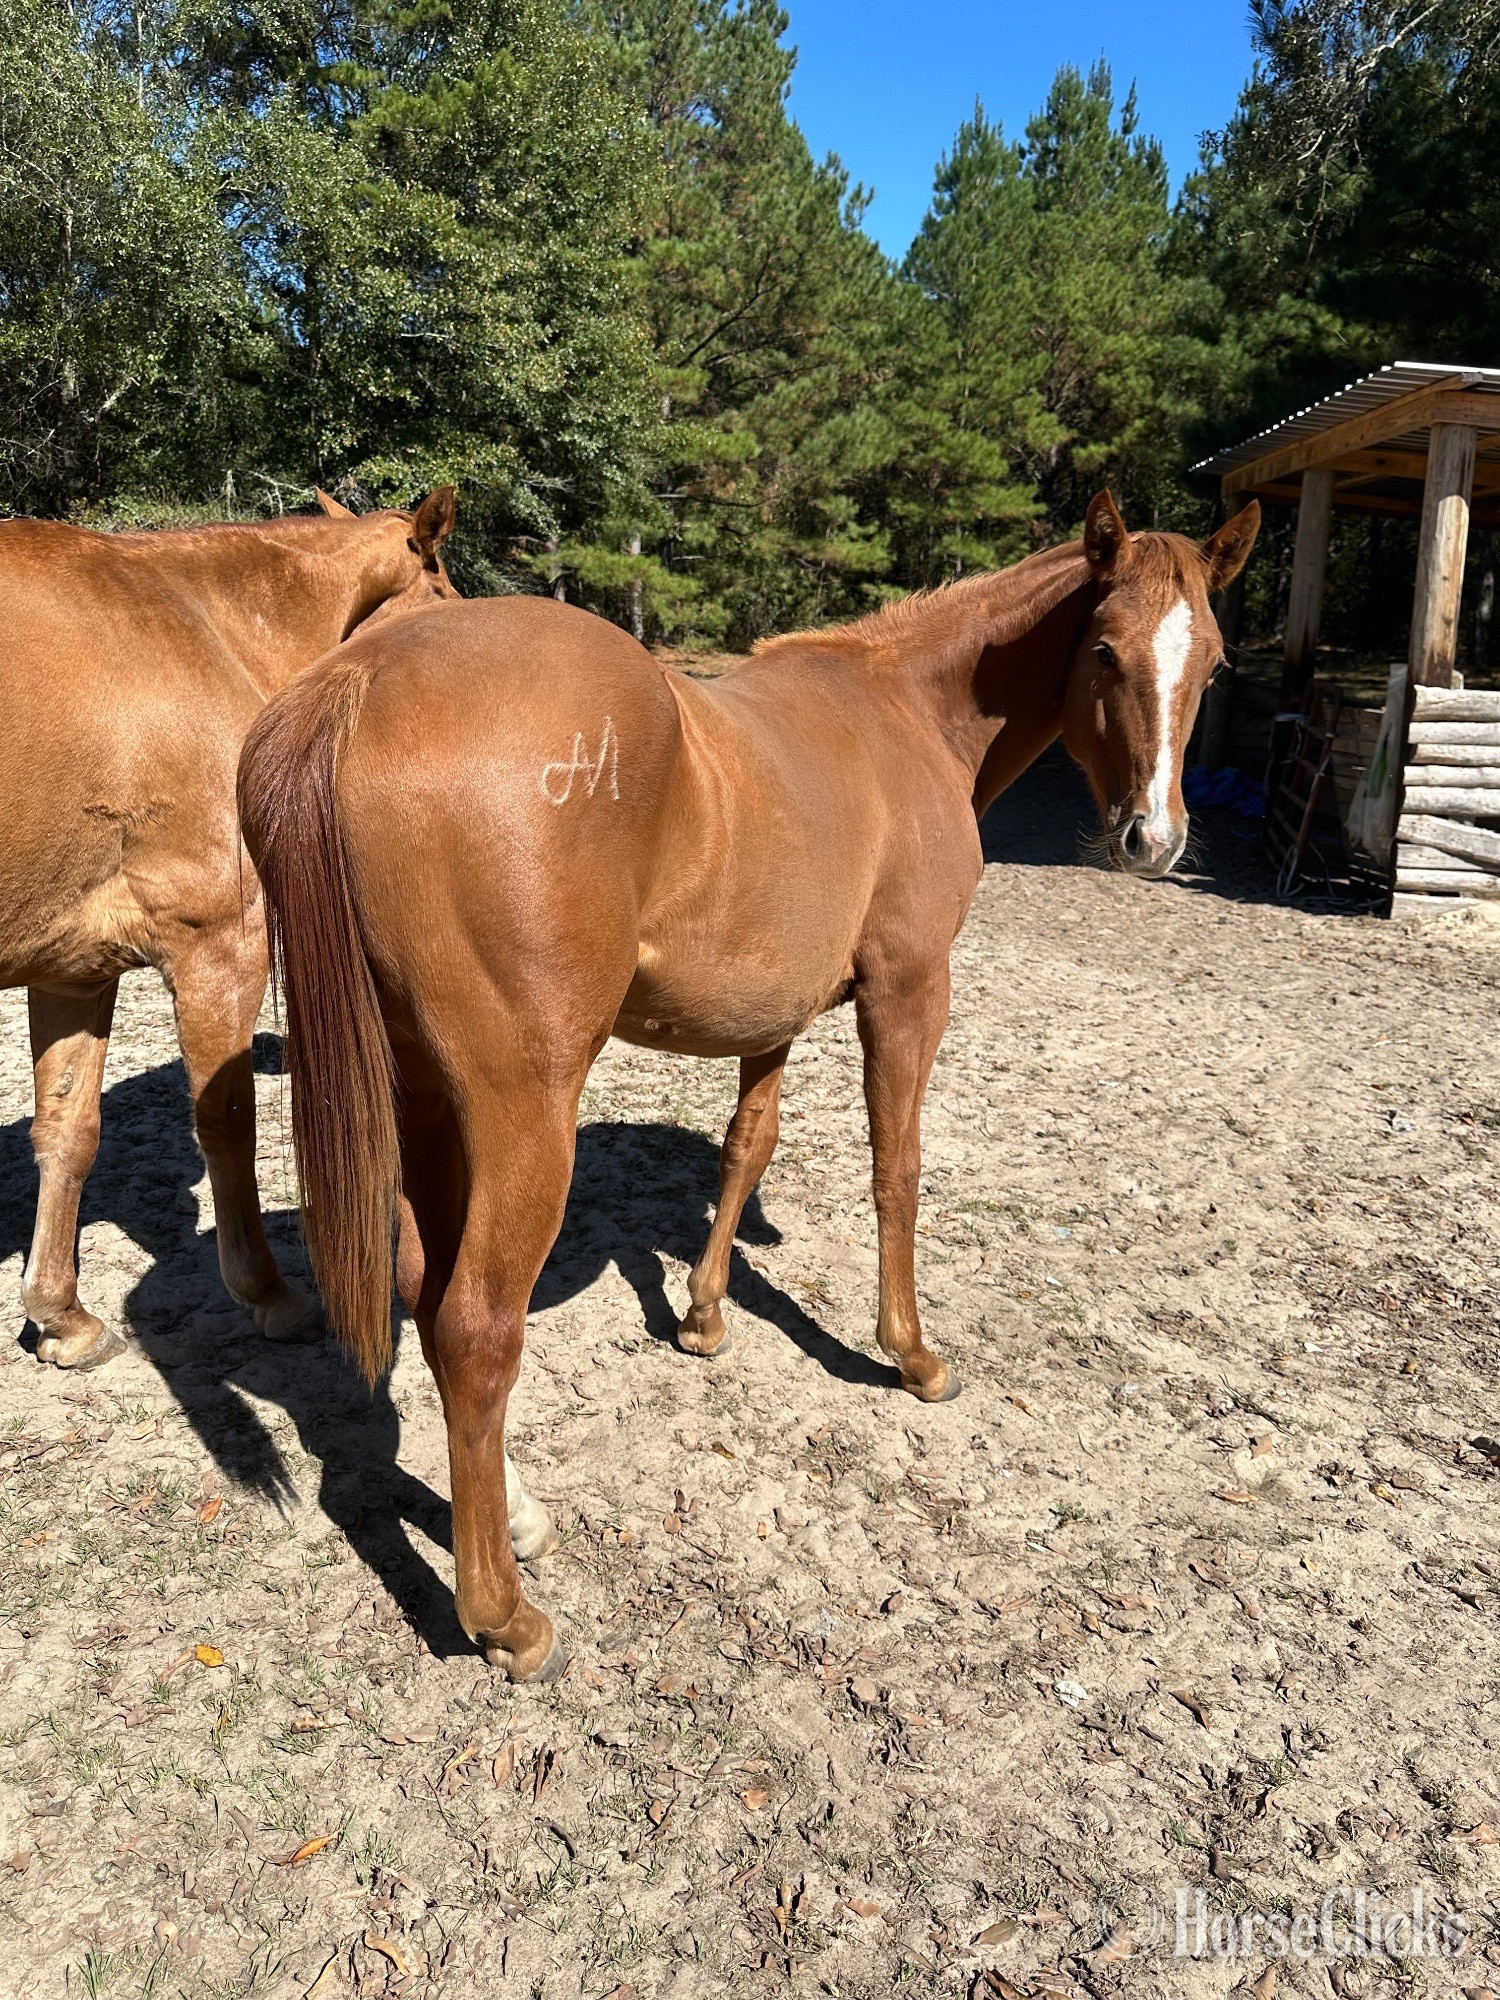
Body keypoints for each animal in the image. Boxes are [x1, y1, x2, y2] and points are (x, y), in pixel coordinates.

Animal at [1, 488, 457, 1370]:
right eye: (446, 593)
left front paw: (61, 1316)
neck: (201, 622)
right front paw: (270, 1295)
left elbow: (67, 1132)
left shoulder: (73, 969)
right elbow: (229, 1125)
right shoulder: (220, 950)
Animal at [238, 490, 1259, 1680]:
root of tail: (357, 681)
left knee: (423, 1287)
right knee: (476, 1328)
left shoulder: (776, 1011)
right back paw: (505, 1615)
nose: (1156, 839)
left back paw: (514, 1518)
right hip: (519, 1109)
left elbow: (747, 1144)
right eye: (1104, 650)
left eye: (1215, 663)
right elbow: (897, 1169)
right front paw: (910, 1352)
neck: (905, 712)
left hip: (420, 1091)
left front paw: (705, 1314)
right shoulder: (907, 991)